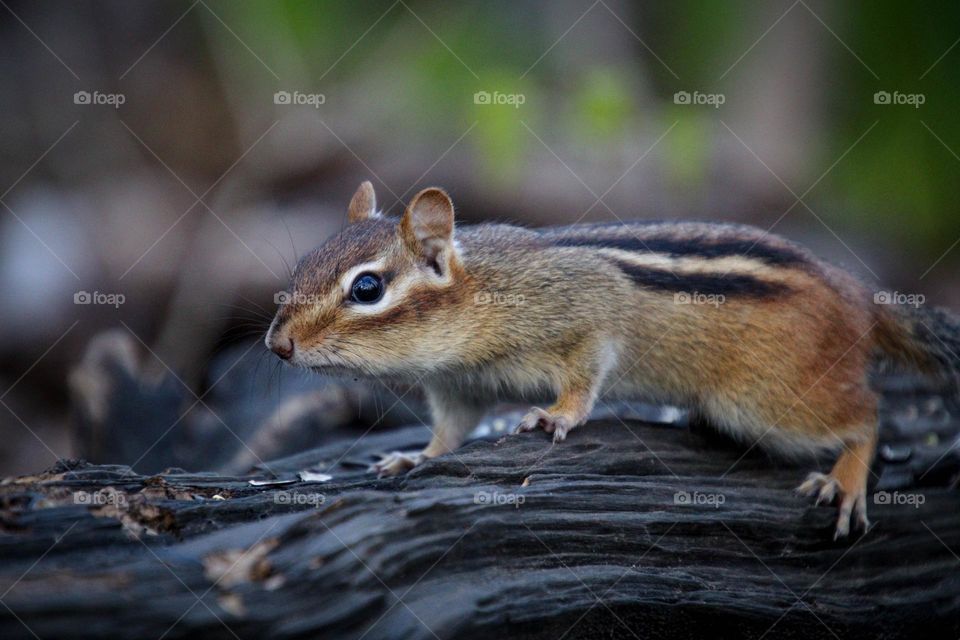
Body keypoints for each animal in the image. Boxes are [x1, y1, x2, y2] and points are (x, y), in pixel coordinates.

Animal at [266, 181, 956, 538]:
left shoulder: (585, 316)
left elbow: (588, 370)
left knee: (866, 413)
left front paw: (557, 415)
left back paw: (847, 480)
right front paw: (415, 456)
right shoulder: (457, 386)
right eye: (302, 266)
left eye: (366, 288)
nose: (277, 344)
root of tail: (859, 296)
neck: (478, 290)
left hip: (767, 401)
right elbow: (450, 431)